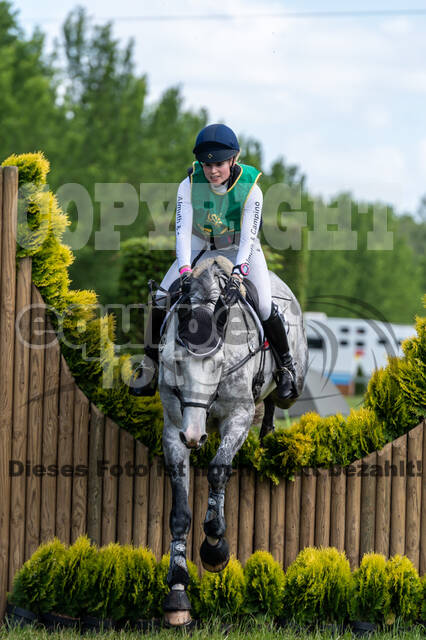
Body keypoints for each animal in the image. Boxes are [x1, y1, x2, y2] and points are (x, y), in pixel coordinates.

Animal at [157, 255, 308, 627]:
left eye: (218, 363)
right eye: (177, 363)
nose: (194, 436)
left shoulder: (238, 417)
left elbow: (217, 471)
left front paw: (215, 548)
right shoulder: (173, 429)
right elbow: (179, 512)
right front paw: (177, 593)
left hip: (290, 390)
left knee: (275, 400)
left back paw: (270, 428)